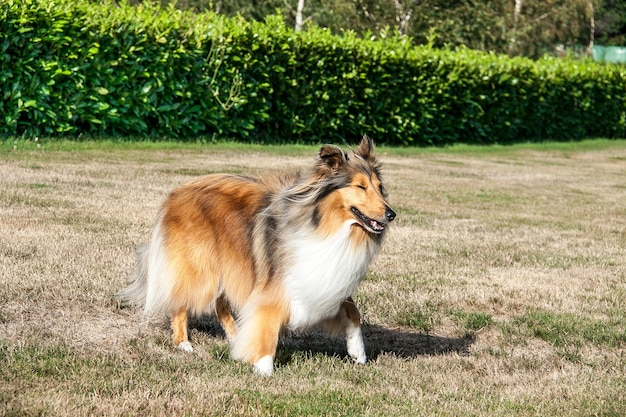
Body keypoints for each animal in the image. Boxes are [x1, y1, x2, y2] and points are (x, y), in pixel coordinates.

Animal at [121, 136, 392, 374]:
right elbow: (267, 323)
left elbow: (352, 311)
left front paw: (358, 352)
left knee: (221, 305)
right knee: (181, 301)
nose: (391, 214)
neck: (324, 224)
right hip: (200, 268)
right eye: (360, 186)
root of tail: (176, 192)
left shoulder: (321, 280)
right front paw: (263, 367)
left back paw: (235, 336)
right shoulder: (275, 285)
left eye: (380, 188)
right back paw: (183, 343)